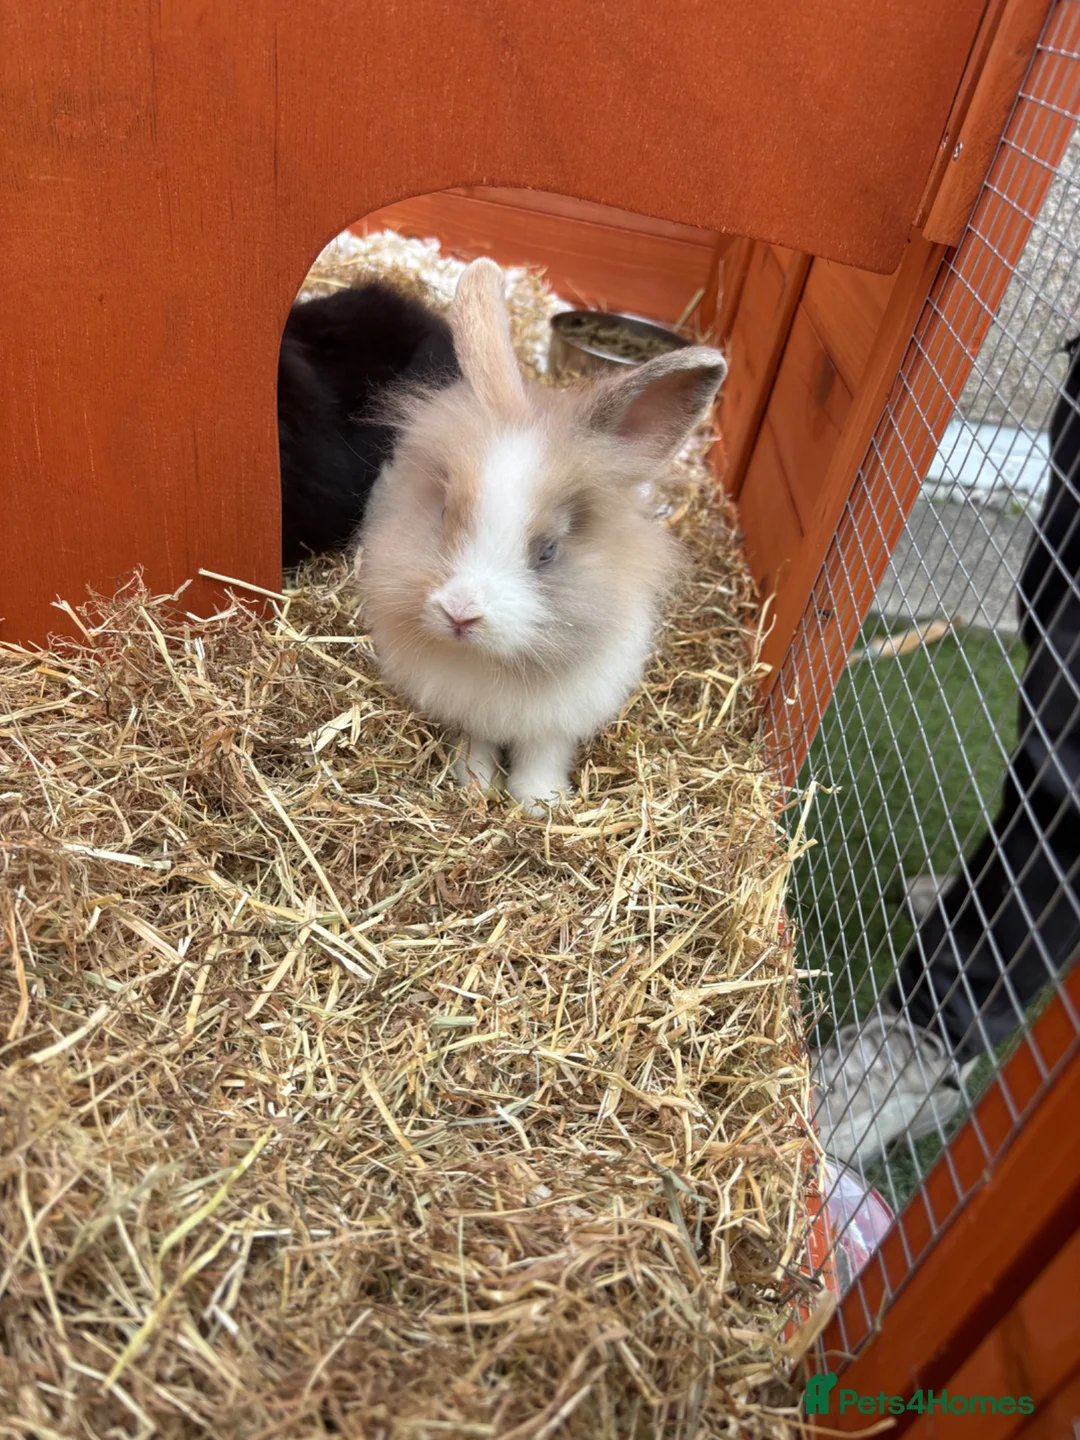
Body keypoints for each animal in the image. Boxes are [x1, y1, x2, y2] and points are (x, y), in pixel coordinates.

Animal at [356, 258, 727, 814]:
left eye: (549, 550)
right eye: (443, 513)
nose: (460, 614)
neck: (494, 665)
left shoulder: (558, 722)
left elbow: (541, 756)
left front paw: (540, 805)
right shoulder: (470, 714)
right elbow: (477, 747)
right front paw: (475, 789)